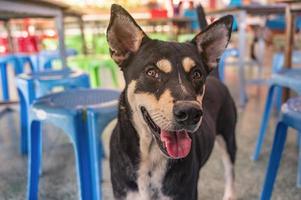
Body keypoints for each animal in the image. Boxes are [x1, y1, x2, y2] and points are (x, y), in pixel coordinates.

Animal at [106, 4, 236, 200]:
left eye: (197, 74)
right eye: (152, 72)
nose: (189, 112)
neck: (151, 156)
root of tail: (216, 78)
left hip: (229, 138)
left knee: (229, 170)